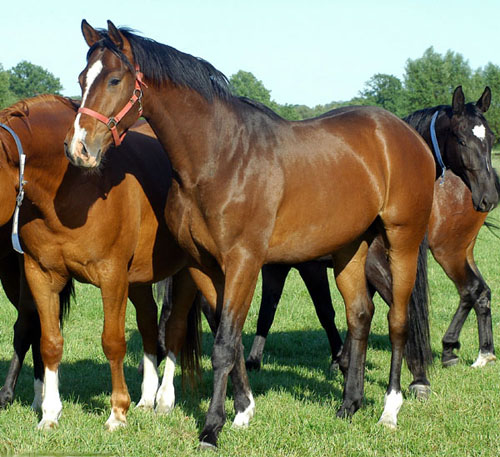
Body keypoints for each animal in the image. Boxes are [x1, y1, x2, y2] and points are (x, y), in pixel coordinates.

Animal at [65, 20, 438, 446]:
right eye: (82, 79)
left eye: (114, 79)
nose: (78, 149)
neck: (221, 158)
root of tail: (403, 134)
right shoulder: (204, 265)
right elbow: (229, 334)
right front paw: (242, 411)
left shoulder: (244, 261)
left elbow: (225, 344)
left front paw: (212, 428)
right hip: (350, 249)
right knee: (360, 314)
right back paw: (349, 404)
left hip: (401, 241)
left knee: (398, 319)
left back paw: (390, 409)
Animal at [247, 86, 500, 374]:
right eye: (460, 138)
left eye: (491, 138)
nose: (489, 196)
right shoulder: (282, 264)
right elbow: (269, 310)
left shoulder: (314, 265)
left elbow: (327, 310)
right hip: (460, 251)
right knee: (479, 291)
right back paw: (471, 350)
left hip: (449, 252)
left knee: (471, 290)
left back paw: (467, 351)